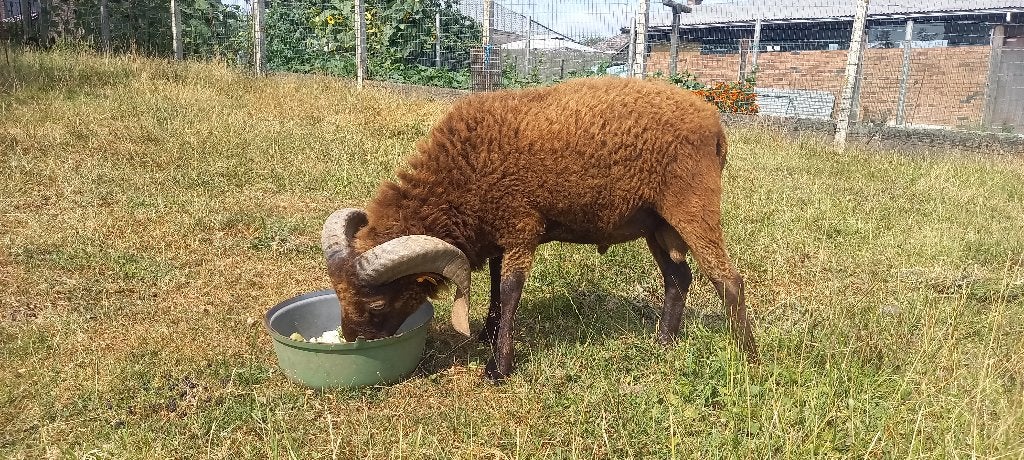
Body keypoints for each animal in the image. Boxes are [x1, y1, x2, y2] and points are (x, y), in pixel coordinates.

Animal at [321, 76, 759, 380]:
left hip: (692, 203)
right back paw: (664, 342)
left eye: (378, 304)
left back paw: (748, 358)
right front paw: (488, 333)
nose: (351, 343)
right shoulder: (500, 231)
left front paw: (498, 367)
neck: (463, 175)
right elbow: (496, 283)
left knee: (728, 279)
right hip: (657, 222)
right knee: (678, 278)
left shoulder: (521, 225)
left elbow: (511, 290)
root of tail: (714, 125)